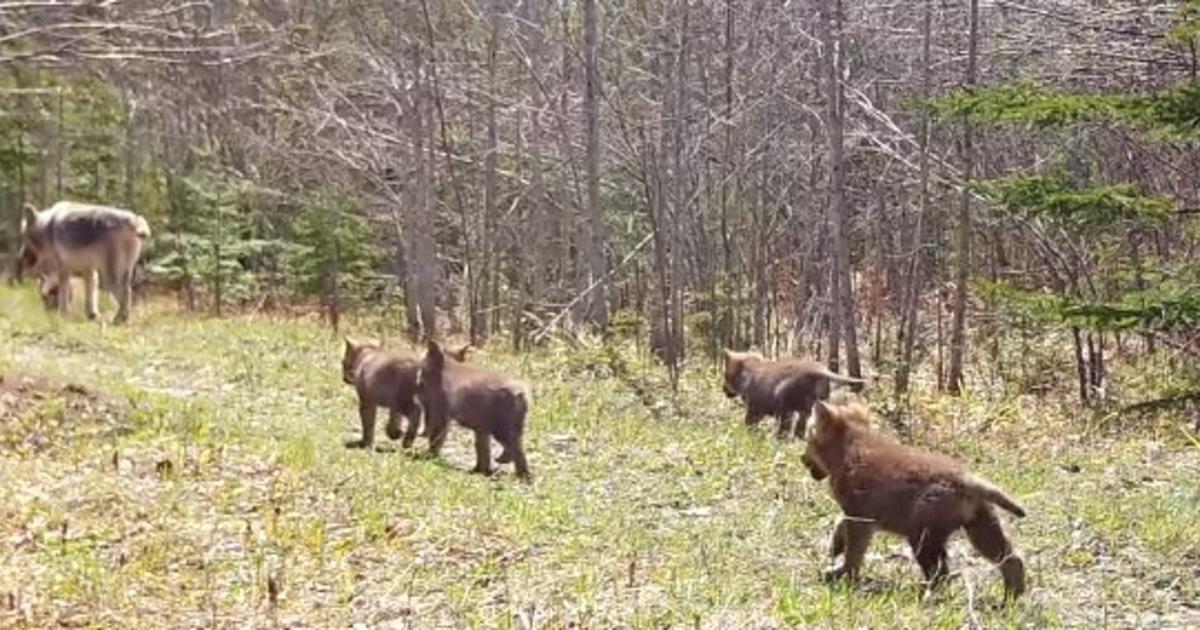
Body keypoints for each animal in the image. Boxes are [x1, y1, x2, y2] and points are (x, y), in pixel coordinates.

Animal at [20, 200, 152, 324]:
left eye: (23, 237)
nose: (20, 256)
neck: (46, 227)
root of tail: (134, 220)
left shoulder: (63, 271)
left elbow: (63, 295)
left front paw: (63, 315)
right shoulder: (89, 271)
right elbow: (90, 295)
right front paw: (92, 315)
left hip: (109, 279)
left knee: (125, 293)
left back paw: (119, 319)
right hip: (123, 273)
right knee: (128, 291)